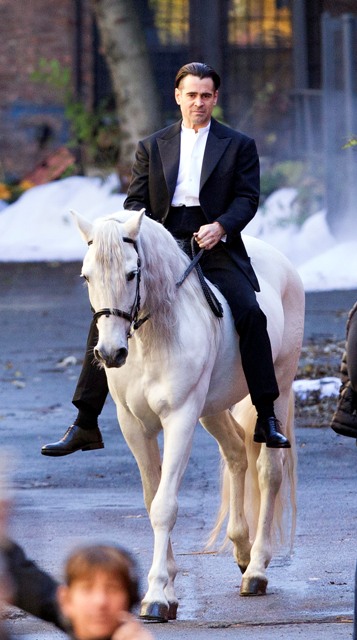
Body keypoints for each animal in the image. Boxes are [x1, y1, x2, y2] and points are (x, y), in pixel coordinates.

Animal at [72, 209, 304, 620]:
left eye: (131, 273)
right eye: (86, 276)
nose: (111, 353)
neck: (150, 339)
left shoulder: (180, 418)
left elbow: (164, 506)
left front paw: (156, 595)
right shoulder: (134, 426)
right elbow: (152, 498)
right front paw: (168, 585)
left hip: (279, 387)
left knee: (268, 471)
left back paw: (257, 569)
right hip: (211, 408)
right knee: (236, 453)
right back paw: (242, 550)